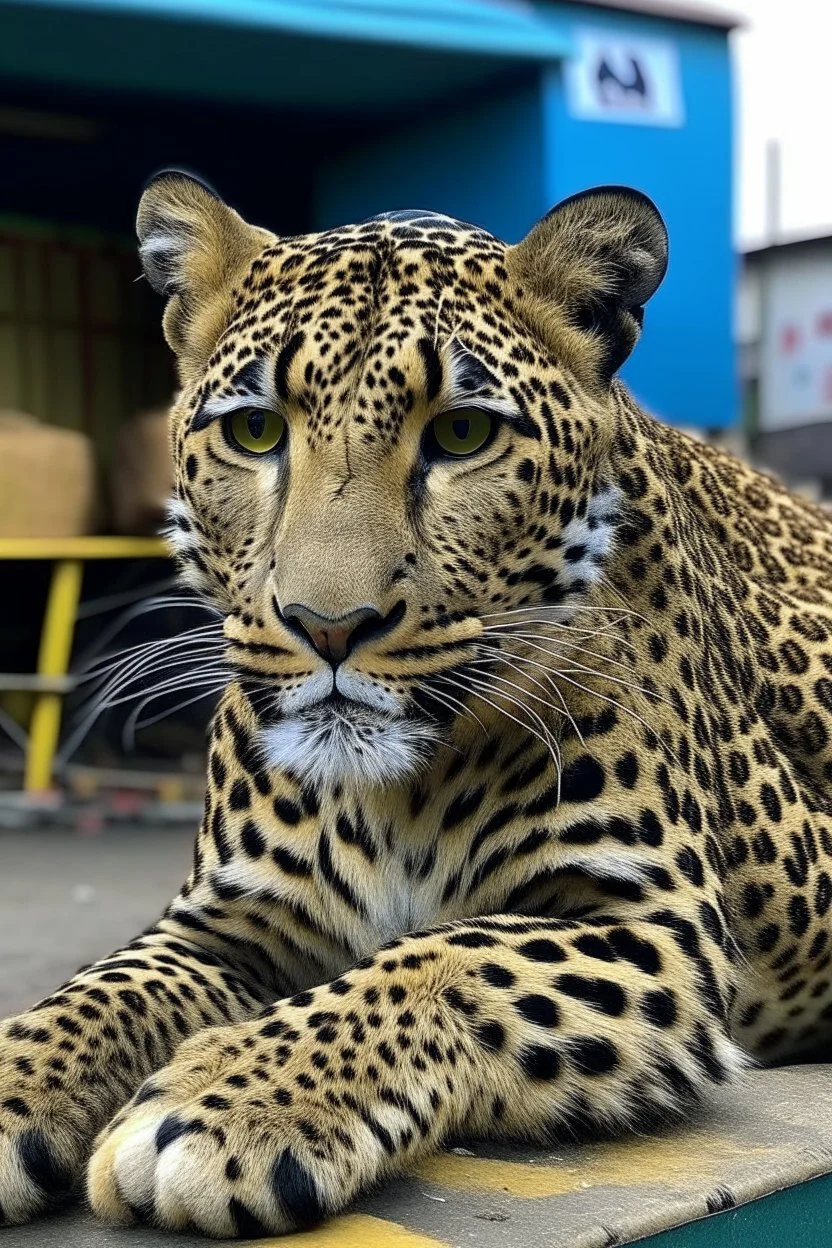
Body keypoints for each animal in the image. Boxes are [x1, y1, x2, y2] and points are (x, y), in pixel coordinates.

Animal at [1, 168, 832, 1238]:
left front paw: (228, 1101)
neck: (390, 797)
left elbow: (450, 954)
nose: (329, 625)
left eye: (463, 433)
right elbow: (104, 987)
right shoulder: (226, 919)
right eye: (255, 430)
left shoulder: (660, 925)